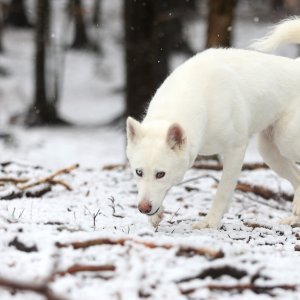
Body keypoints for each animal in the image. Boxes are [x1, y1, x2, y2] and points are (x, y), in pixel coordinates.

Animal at [125, 17, 300, 229]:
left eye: (161, 174)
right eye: (139, 172)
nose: (143, 208)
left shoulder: (236, 149)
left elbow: (223, 191)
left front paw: (210, 221)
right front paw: (156, 216)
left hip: (287, 141)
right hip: (269, 151)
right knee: (298, 178)